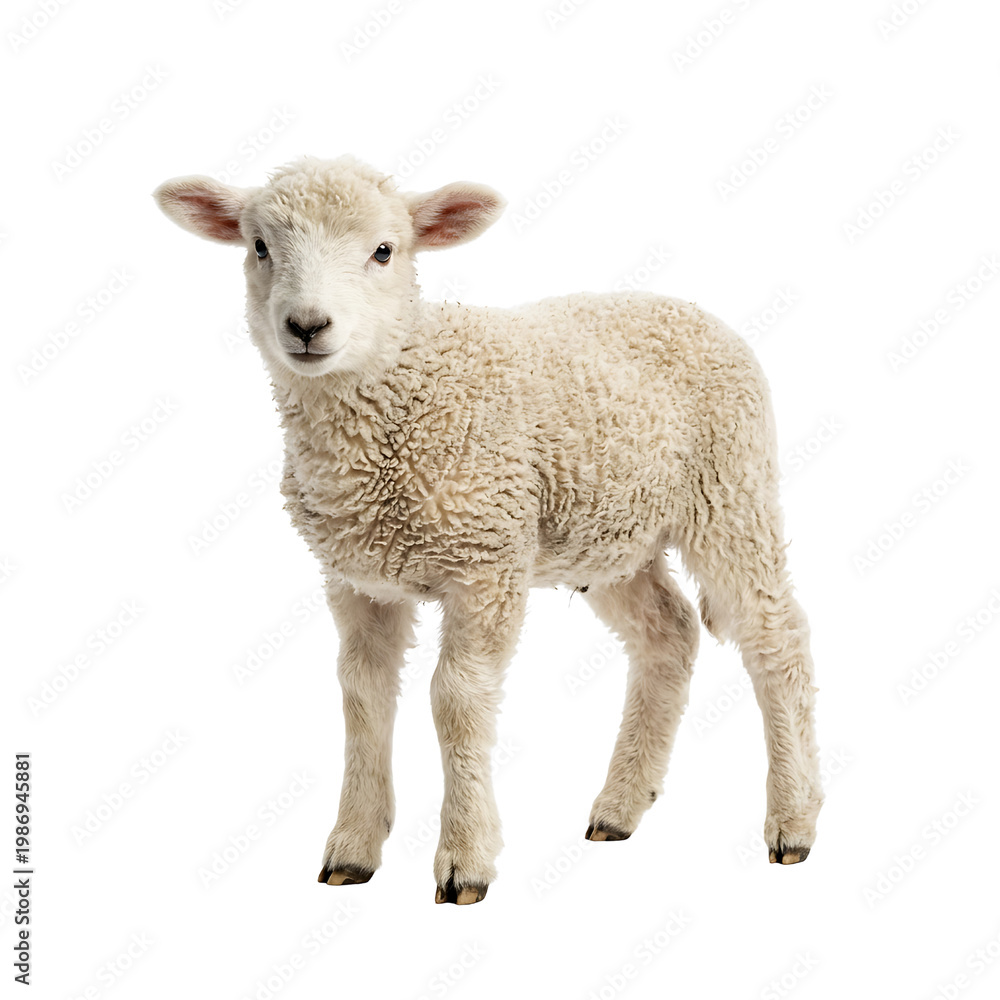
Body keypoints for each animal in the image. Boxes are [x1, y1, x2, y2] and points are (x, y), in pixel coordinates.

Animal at [154, 155, 823, 905]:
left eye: (384, 251)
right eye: (260, 247)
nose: (306, 325)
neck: (403, 388)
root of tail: (692, 310)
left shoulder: (487, 560)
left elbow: (457, 699)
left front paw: (465, 858)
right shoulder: (359, 580)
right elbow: (362, 696)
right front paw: (353, 848)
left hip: (731, 490)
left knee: (777, 638)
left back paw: (793, 820)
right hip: (607, 533)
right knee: (669, 634)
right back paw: (620, 808)